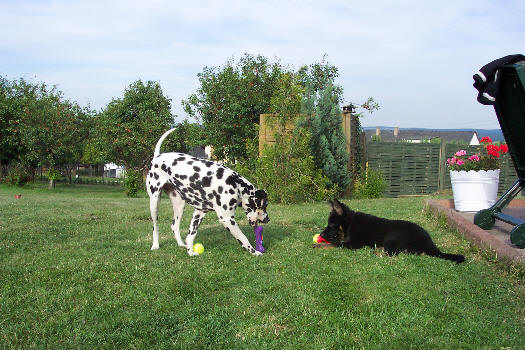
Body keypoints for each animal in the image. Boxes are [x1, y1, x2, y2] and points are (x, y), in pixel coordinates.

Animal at [320, 200, 462, 262]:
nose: (320, 234)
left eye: (332, 224)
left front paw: (318, 245)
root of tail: (430, 243)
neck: (350, 223)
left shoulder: (354, 244)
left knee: (394, 253)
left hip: (392, 235)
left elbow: (334, 244)